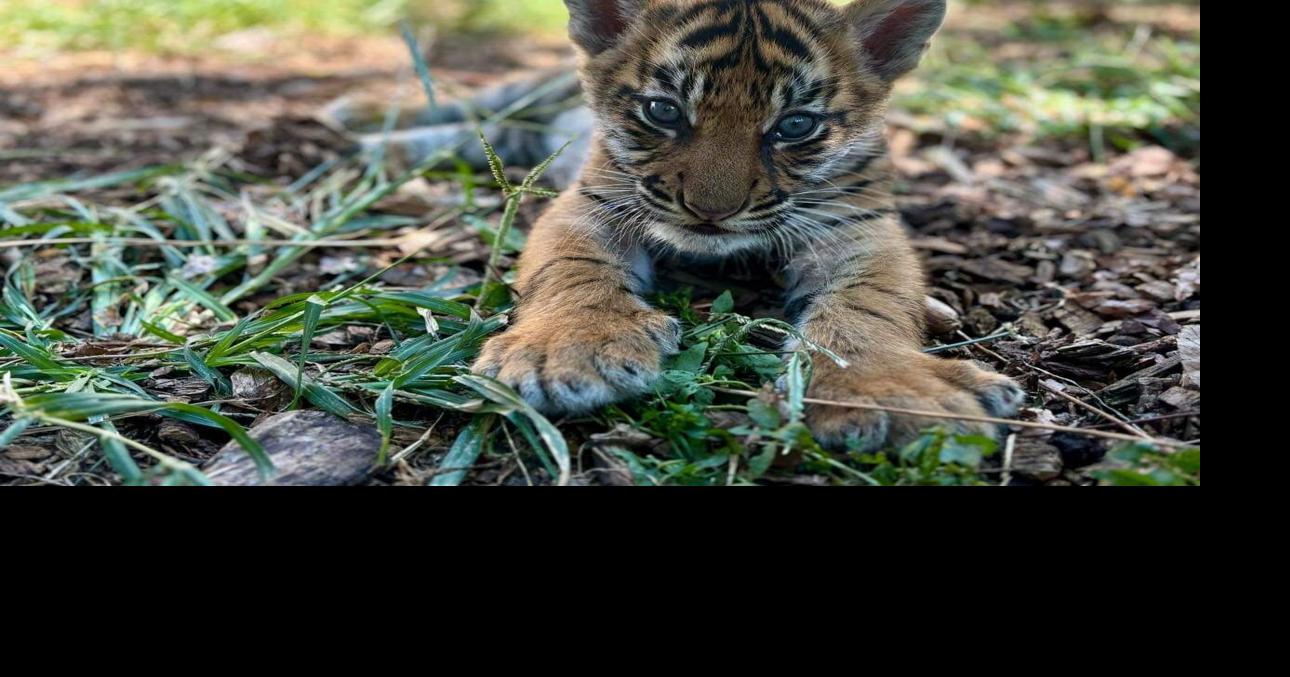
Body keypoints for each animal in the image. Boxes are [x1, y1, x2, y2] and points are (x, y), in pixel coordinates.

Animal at [338, 0, 1027, 452]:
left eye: (795, 125)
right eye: (663, 111)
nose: (710, 211)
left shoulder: (858, 227)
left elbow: (870, 305)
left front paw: (883, 390)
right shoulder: (591, 201)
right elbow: (571, 271)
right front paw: (569, 349)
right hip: (534, 90)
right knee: (485, 103)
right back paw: (362, 123)